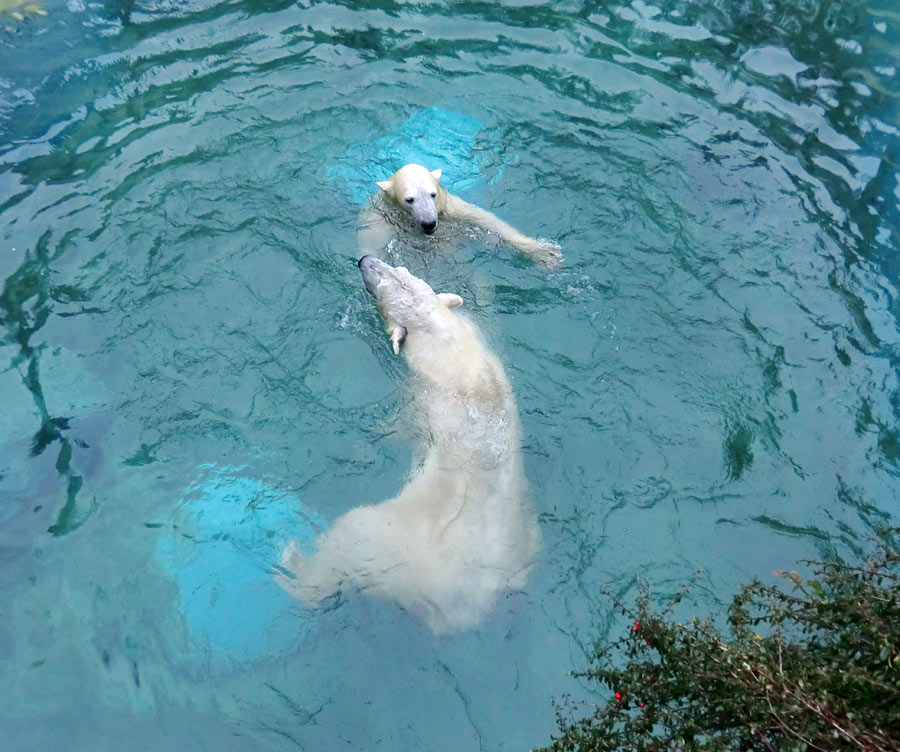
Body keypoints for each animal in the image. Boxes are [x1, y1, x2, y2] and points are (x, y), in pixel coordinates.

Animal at [276, 256, 540, 632]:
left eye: (381, 290)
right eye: (399, 271)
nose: (364, 261)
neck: (446, 344)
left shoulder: (422, 392)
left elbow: (402, 423)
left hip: (393, 535)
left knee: (346, 541)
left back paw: (292, 558)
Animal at [358, 163, 564, 268]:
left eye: (432, 194)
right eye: (410, 199)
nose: (429, 223)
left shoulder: (453, 211)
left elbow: (490, 223)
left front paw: (544, 253)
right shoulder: (381, 217)